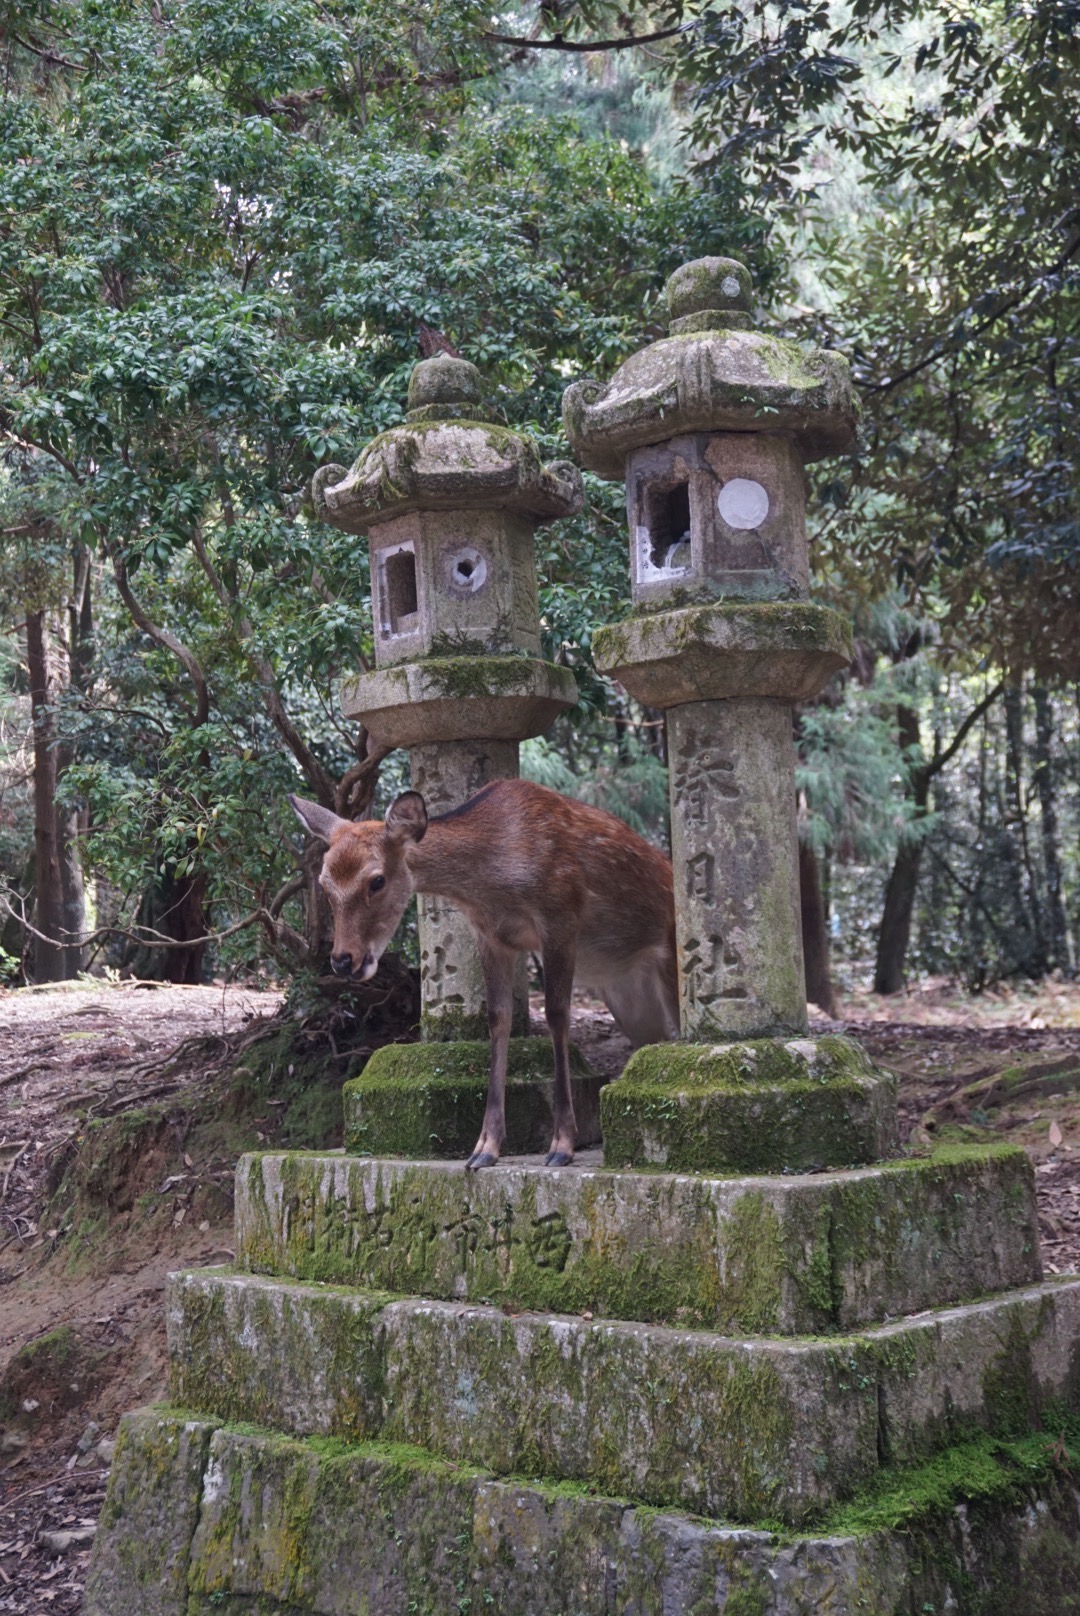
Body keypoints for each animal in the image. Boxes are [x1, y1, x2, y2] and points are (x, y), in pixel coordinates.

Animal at [286, 775, 675, 1169]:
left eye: (376, 880)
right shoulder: (489, 935)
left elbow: (556, 1015)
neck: (493, 882)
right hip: (631, 1002)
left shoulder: (562, 913)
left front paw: (562, 1145)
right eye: (324, 884)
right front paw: (484, 1148)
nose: (342, 959)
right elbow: (498, 1020)